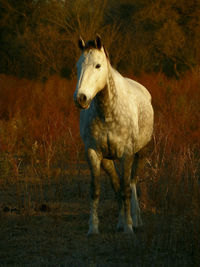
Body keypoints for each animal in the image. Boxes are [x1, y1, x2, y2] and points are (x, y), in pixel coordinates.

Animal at [73, 34, 153, 236]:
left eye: (98, 65)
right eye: (77, 66)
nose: (80, 98)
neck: (108, 112)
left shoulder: (127, 154)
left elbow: (126, 190)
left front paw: (129, 228)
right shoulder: (94, 153)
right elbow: (97, 190)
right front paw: (93, 227)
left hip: (139, 153)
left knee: (132, 184)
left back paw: (136, 219)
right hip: (109, 160)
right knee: (118, 185)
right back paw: (121, 221)